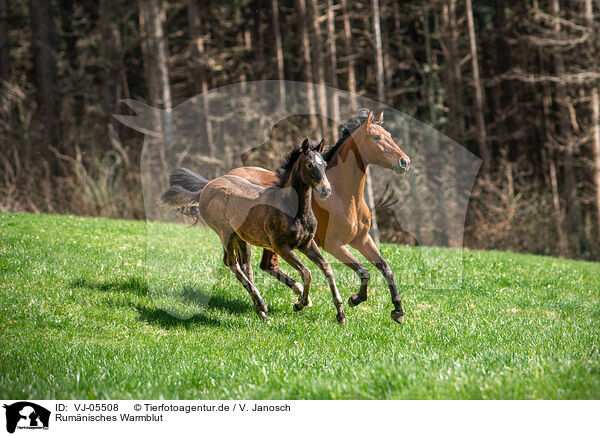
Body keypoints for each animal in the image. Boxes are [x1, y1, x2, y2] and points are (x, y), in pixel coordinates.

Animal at [161, 140, 346, 324]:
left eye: (324, 164)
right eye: (309, 164)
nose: (326, 190)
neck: (292, 209)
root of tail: (206, 187)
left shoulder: (306, 243)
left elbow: (326, 267)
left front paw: (340, 314)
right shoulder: (281, 247)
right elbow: (306, 272)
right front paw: (300, 304)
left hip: (240, 238)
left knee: (245, 266)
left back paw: (261, 311)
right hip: (225, 233)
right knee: (232, 263)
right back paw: (262, 305)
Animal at [227, 109, 410, 324]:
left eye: (388, 134)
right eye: (376, 137)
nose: (404, 162)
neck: (342, 196)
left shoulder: (362, 239)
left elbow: (385, 268)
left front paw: (398, 311)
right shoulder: (333, 245)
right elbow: (364, 271)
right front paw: (354, 299)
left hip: (270, 243)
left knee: (267, 265)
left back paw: (299, 295)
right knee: (246, 266)